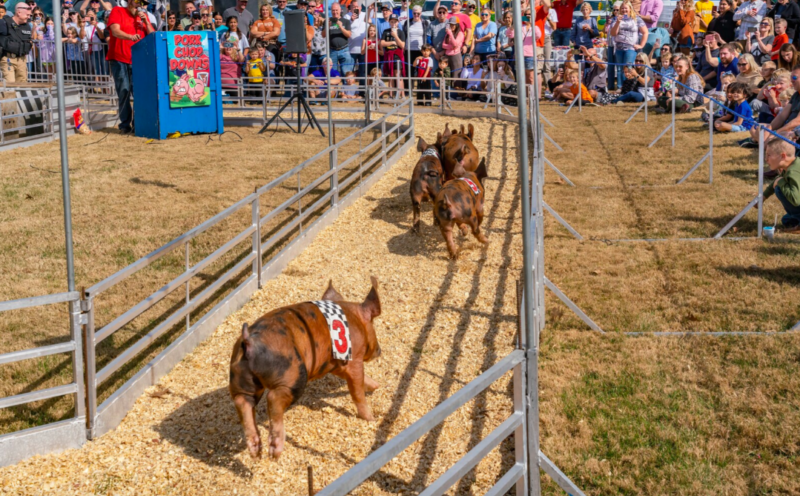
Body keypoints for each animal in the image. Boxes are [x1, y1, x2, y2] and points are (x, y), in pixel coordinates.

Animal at [228, 278, 384, 460]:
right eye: (373, 324)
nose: (379, 350)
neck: (353, 319)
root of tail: (249, 342)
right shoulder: (354, 360)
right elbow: (357, 391)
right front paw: (372, 419)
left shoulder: (334, 364)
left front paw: (376, 386)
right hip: (293, 376)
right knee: (273, 398)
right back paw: (275, 451)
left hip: (241, 377)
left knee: (243, 400)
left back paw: (255, 450)